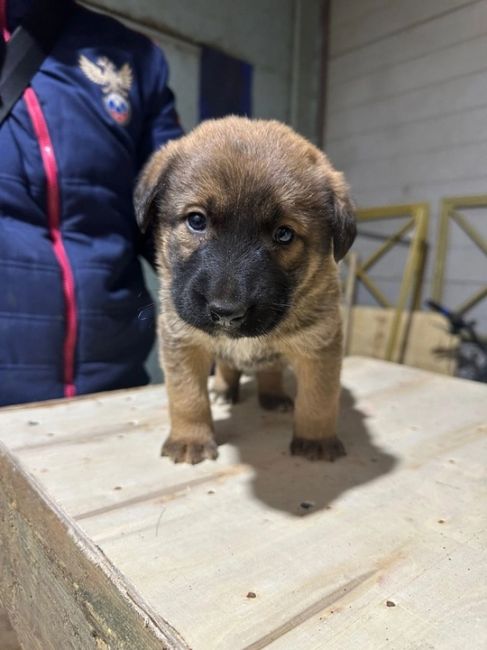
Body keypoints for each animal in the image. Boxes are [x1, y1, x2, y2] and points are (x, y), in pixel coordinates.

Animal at [135, 115, 356, 460]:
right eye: (196, 220)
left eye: (284, 234)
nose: (226, 312)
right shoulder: (182, 339)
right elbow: (187, 396)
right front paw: (190, 439)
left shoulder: (319, 344)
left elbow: (319, 397)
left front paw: (316, 440)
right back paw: (224, 390)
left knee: (271, 368)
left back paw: (272, 395)